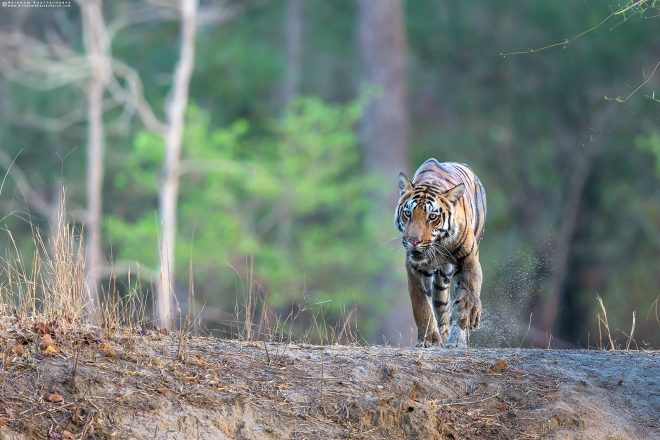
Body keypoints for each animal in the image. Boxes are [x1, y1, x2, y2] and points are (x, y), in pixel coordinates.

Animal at [394, 159, 486, 347]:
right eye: (407, 214)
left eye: (432, 217)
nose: (413, 241)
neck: (437, 245)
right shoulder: (414, 268)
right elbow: (421, 304)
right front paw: (428, 340)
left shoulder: (469, 259)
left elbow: (469, 293)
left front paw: (467, 321)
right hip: (441, 280)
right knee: (442, 309)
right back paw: (443, 338)